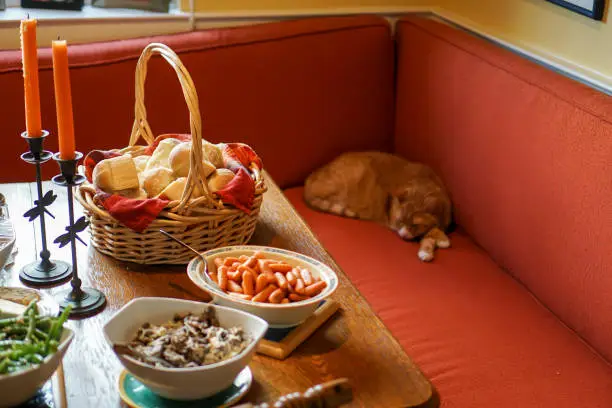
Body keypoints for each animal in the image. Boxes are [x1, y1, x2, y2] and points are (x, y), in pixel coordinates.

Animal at [304, 152, 452, 262]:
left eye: (414, 225)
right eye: (399, 221)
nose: (403, 235)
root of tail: (309, 178)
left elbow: (432, 232)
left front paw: (435, 242)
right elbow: (432, 231)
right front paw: (439, 242)